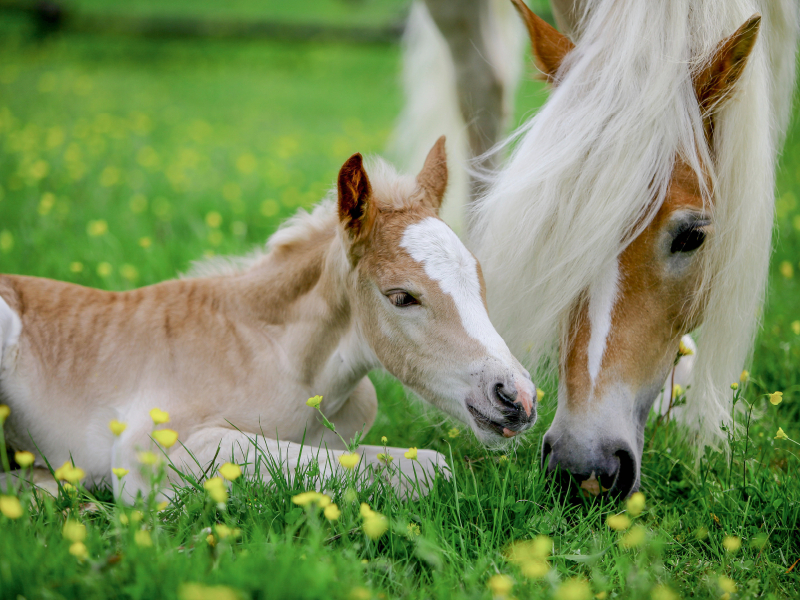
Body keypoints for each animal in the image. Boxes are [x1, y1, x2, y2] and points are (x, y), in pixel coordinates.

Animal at [1, 137, 536, 502]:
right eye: (402, 297)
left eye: (479, 279)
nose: (518, 398)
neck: (286, 365)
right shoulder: (147, 450)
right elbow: (418, 469)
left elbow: (408, 464)